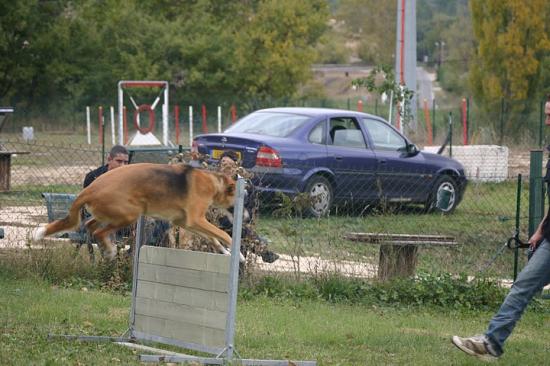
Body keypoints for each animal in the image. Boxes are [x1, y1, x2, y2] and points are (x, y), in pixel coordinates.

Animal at [31, 162, 244, 260]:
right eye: (238, 197)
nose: (246, 215)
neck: (214, 183)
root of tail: (89, 189)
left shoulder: (186, 223)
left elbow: (213, 238)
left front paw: (227, 253)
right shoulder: (196, 220)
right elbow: (223, 234)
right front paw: (237, 253)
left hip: (106, 213)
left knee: (90, 226)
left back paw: (105, 248)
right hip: (129, 213)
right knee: (99, 231)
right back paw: (110, 251)